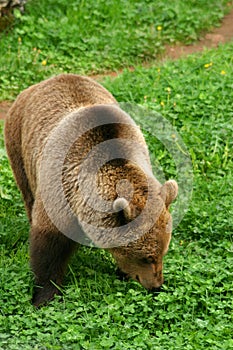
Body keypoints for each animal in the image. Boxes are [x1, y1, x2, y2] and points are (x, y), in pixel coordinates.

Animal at [4, 74, 178, 306]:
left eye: (163, 252)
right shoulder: (60, 189)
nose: (157, 285)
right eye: (146, 257)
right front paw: (44, 296)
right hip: (20, 146)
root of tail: (42, 83)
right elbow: (48, 246)